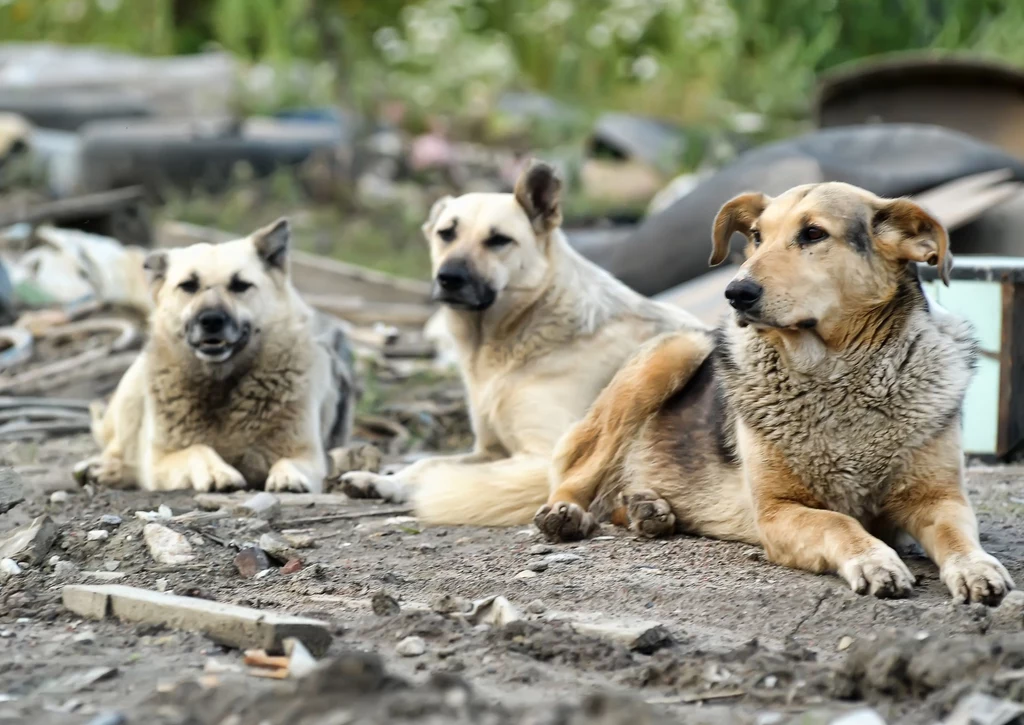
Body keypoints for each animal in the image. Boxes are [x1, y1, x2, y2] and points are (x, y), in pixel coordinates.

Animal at [74, 218, 354, 495]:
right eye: (188, 285)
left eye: (240, 285)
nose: (211, 320)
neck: (221, 383)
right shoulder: (161, 460)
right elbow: (197, 449)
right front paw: (217, 472)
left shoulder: (307, 455)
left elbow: (289, 461)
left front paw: (288, 475)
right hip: (132, 390)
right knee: (119, 449)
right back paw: (107, 470)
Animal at [339, 159, 708, 528]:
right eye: (446, 233)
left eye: (499, 240)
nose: (449, 278)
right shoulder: (489, 450)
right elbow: (428, 463)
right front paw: (382, 480)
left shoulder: (540, 452)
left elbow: (454, 474)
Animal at [544, 181, 1015, 606]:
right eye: (756, 236)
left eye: (814, 234)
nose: (735, 292)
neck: (836, 375)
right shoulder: (777, 510)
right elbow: (838, 523)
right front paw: (873, 560)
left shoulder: (939, 499)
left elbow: (958, 536)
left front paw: (977, 567)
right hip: (676, 352)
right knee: (578, 470)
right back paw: (567, 513)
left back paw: (648, 508)